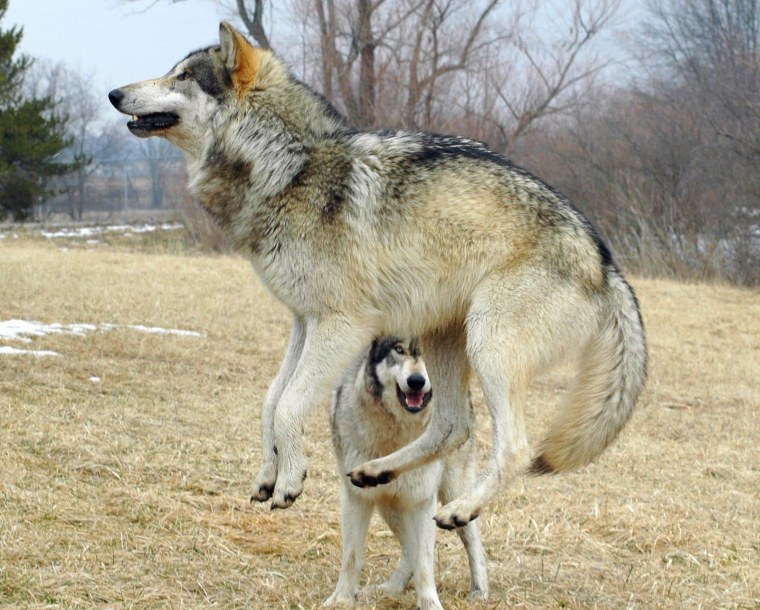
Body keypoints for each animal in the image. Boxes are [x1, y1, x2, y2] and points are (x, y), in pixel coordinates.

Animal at [108, 22, 647, 529]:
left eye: (182, 77)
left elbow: (288, 406)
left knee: (512, 443)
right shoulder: (303, 322)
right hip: (445, 342)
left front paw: (290, 481)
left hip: (488, 345)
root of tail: (605, 261)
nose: (114, 94)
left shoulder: (341, 326)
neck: (288, 165)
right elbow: (269, 400)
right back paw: (377, 471)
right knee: (452, 426)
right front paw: (268, 475)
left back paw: (461, 510)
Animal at [326, 336, 488, 609]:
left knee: (472, 539)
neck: (396, 439)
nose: (416, 381)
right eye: (399, 349)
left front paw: (430, 604)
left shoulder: (422, 501)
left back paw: (480, 590)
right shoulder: (355, 498)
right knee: (408, 550)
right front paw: (341, 599)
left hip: (453, 495)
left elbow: (424, 563)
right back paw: (390, 588)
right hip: (389, 507)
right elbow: (352, 556)